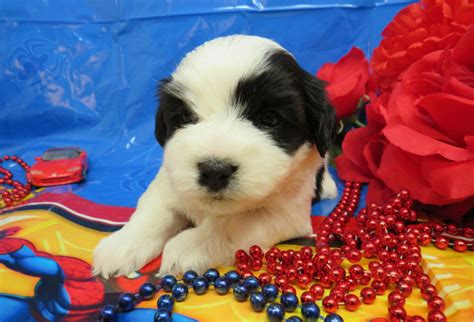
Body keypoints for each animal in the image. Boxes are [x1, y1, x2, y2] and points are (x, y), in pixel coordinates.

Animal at [92, 34, 336, 276]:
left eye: (270, 119)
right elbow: (155, 210)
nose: (214, 172)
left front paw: (190, 245)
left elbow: (237, 222)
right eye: (185, 117)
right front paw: (121, 245)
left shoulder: (288, 212)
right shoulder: (170, 180)